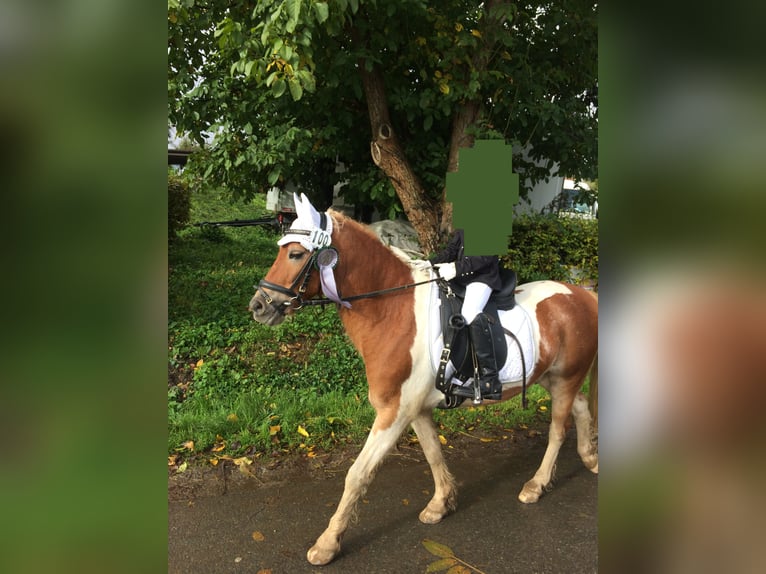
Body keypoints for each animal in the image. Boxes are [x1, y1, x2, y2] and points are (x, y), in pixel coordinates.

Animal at [250, 197, 600, 568]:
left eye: (295, 254)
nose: (258, 306)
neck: (392, 310)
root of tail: (582, 294)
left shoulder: (394, 412)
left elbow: (357, 474)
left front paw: (327, 544)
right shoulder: (415, 408)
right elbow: (433, 452)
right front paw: (441, 504)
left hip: (565, 379)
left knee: (558, 431)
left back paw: (537, 485)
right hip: (553, 378)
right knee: (579, 410)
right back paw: (590, 458)